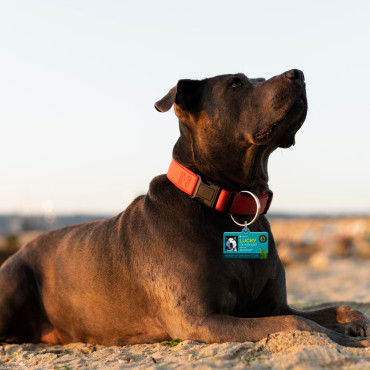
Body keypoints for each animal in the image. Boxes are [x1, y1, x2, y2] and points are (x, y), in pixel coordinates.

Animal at [0, 68, 368, 346]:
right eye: (236, 83)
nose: (299, 74)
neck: (232, 204)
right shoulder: (202, 319)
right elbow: (300, 325)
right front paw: (349, 341)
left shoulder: (274, 305)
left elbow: (332, 310)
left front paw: (355, 322)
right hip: (14, 283)